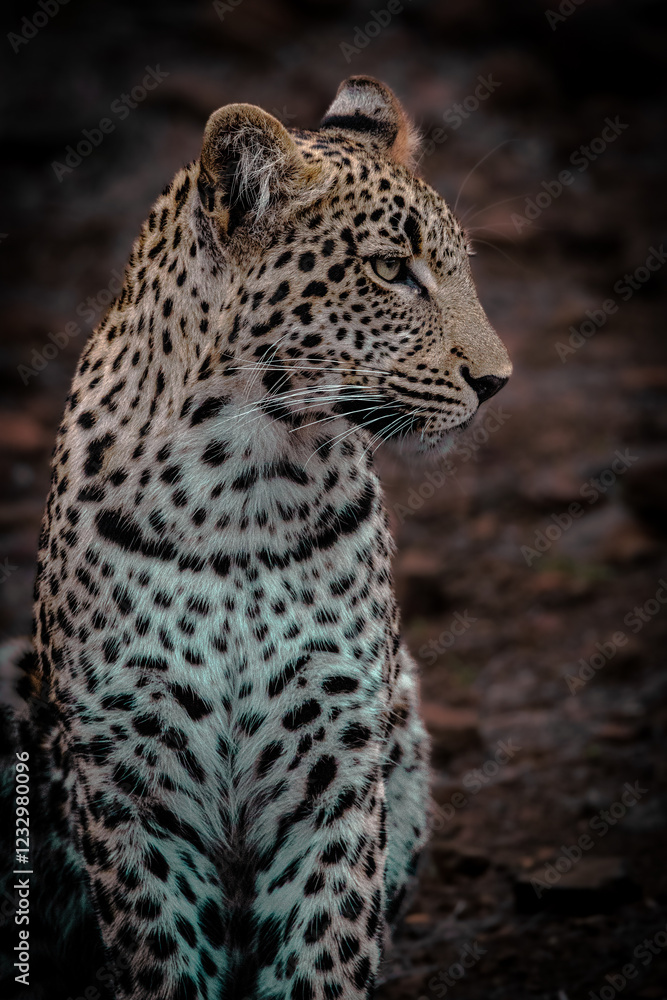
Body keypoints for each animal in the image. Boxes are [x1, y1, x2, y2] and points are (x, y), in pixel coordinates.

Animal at [0, 75, 511, 1000]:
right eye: (391, 270)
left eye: (456, 268)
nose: (497, 382)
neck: (245, 485)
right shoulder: (135, 787)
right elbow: (161, 957)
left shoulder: (335, 773)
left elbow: (323, 952)